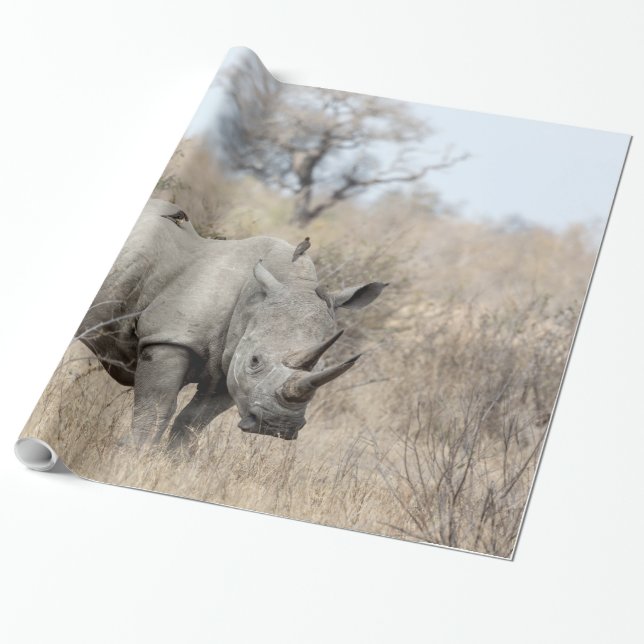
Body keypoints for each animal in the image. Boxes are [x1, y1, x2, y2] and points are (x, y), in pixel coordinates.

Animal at [76, 199, 387, 447]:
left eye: (322, 369)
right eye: (255, 361)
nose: (276, 427)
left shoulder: (230, 363)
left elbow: (192, 422)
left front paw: (175, 466)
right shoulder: (170, 338)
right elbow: (155, 408)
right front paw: (130, 454)